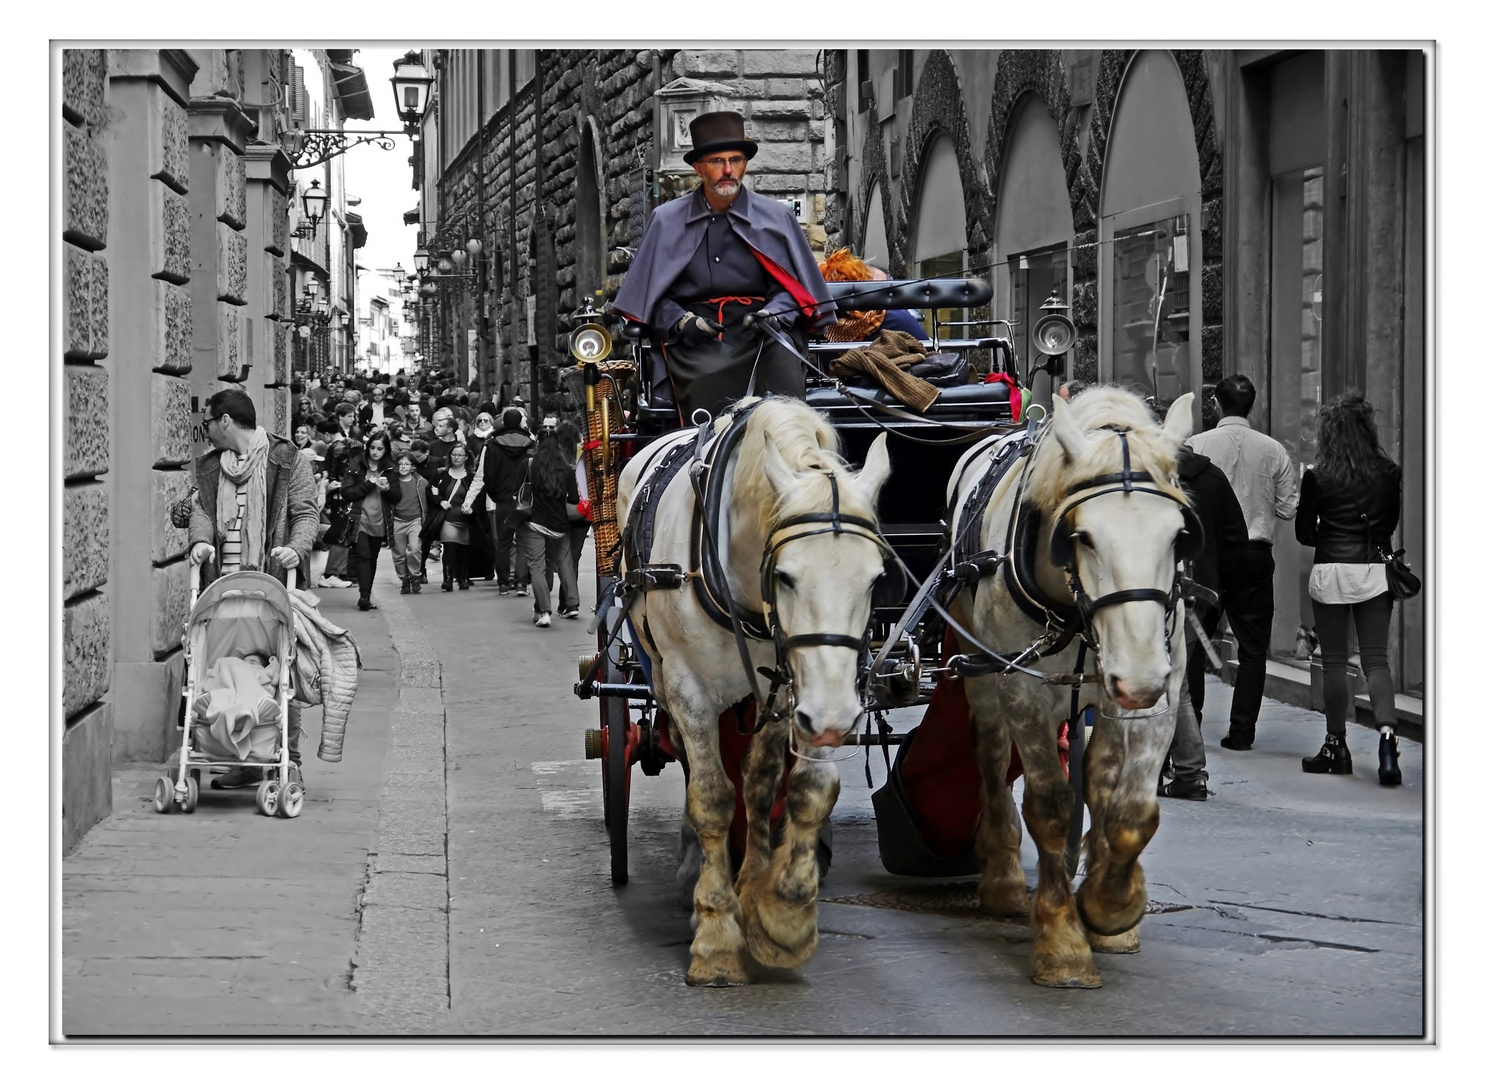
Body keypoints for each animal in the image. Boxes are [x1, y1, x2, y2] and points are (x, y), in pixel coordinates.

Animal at [616, 395, 886, 988]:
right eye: (784, 576)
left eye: (877, 578)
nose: (836, 719)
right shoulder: (689, 689)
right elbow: (713, 798)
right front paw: (717, 933)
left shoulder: (799, 688)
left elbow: (789, 787)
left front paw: (779, 910)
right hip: (661, 674)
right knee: (688, 761)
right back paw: (694, 875)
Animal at [946, 386, 1203, 988]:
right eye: (1080, 537)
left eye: (1179, 535)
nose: (1138, 676)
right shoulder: (1023, 688)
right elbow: (1050, 805)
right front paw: (1062, 940)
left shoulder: (1160, 690)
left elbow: (1132, 808)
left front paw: (1111, 907)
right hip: (981, 669)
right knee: (992, 754)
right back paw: (1003, 878)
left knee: (1102, 777)